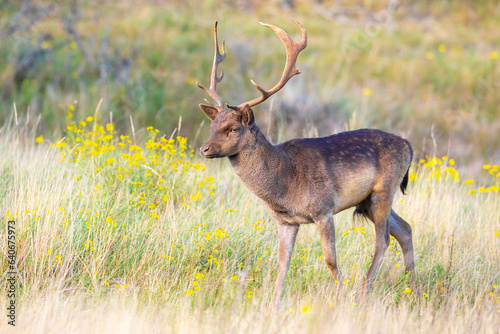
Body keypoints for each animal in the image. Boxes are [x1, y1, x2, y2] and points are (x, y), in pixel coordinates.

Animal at [197, 20, 416, 314]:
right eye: (212, 125)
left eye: (232, 128)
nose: (205, 149)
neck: (285, 182)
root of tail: (408, 146)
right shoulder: (285, 221)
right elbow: (282, 264)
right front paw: (273, 307)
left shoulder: (323, 209)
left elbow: (330, 260)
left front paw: (341, 297)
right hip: (368, 200)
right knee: (405, 230)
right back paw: (413, 290)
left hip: (384, 190)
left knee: (383, 241)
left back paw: (362, 295)